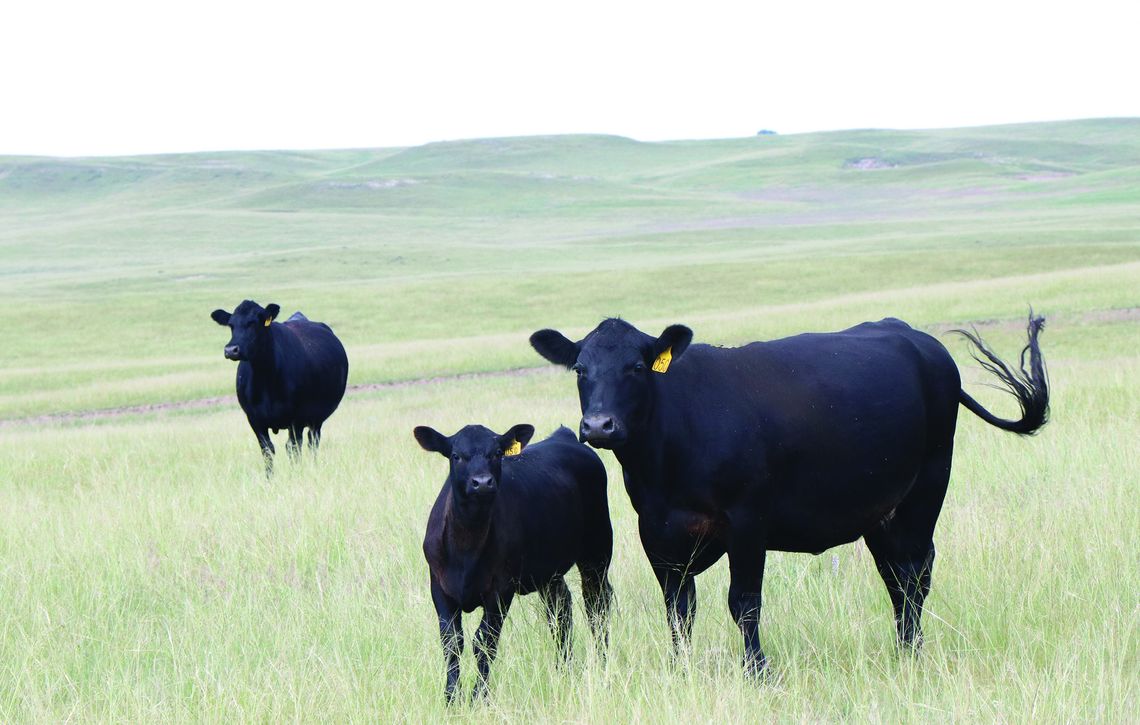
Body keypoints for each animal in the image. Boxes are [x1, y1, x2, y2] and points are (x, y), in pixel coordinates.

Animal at [210, 300, 348, 474]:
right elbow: (267, 450)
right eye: (231, 325)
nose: (231, 350)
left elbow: (293, 448)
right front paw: (269, 478)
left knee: (312, 442)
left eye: (253, 322)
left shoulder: (296, 418)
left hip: (317, 418)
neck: (265, 380)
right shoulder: (254, 419)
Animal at [415, 424, 614, 703]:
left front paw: (479, 697)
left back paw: (602, 663)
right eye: (456, 455)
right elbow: (452, 642)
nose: (482, 482)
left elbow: (484, 641)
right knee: (561, 608)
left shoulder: (501, 588)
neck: (467, 547)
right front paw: (451, 698)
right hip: (549, 570)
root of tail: (565, 437)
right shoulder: (439, 586)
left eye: (497, 453)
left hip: (597, 550)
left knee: (597, 604)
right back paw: (564, 668)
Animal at [529, 313, 1049, 676]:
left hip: (927, 488)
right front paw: (680, 671)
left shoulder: (747, 523)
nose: (599, 426)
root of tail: (916, 337)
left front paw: (757, 671)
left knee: (915, 573)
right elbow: (679, 609)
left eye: (637, 366)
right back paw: (903, 647)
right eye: (580, 369)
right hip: (881, 510)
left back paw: (911, 652)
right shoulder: (657, 531)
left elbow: (744, 602)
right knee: (895, 576)